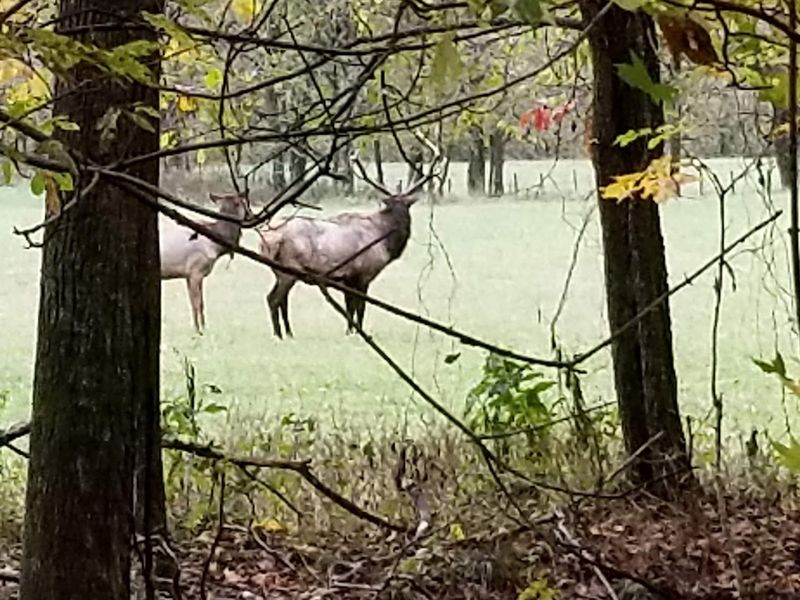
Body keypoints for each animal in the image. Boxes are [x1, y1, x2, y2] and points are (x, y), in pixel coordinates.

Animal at [160, 192, 250, 333]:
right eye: (244, 202)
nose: (250, 215)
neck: (216, 247)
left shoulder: (188, 274)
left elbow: (197, 303)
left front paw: (201, 328)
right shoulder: (196, 271)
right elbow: (198, 303)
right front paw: (199, 331)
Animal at [258, 134, 441, 339]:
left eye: (405, 207)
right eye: (393, 207)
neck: (384, 239)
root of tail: (266, 238)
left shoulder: (348, 277)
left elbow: (349, 308)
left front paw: (349, 331)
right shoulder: (363, 274)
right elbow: (359, 307)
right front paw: (358, 333)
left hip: (280, 270)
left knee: (282, 300)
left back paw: (288, 333)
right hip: (289, 268)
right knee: (273, 298)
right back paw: (278, 335)